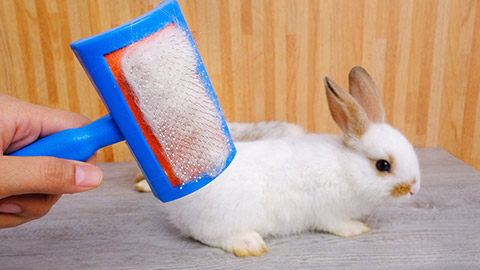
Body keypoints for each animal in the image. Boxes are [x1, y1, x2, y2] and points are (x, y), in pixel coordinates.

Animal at [160, 66, 420, 256]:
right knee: (208, 236)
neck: (347, 168)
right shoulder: (329, 212)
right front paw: (357, 229)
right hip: (224, 220)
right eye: (383, 165)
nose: (414, 189)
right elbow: (338, 225)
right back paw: (248, 244)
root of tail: (180, 205)